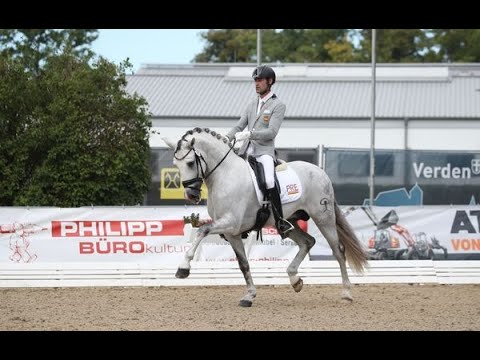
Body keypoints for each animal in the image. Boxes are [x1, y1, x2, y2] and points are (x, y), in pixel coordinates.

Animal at [163, 126, 370, 306]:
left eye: (190, 163)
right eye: (175, 165)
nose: (191, 195)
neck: (225, 175)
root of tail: (320, 171)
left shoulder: (231, 223)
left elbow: (202, 230)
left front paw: (183, 268)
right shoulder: (232, 233)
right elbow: (243, 264)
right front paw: (249, 296)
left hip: (323, 218)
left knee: (338, 250)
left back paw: (346, 293)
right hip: (288, 221)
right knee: (307, 242)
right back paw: (295, 279)